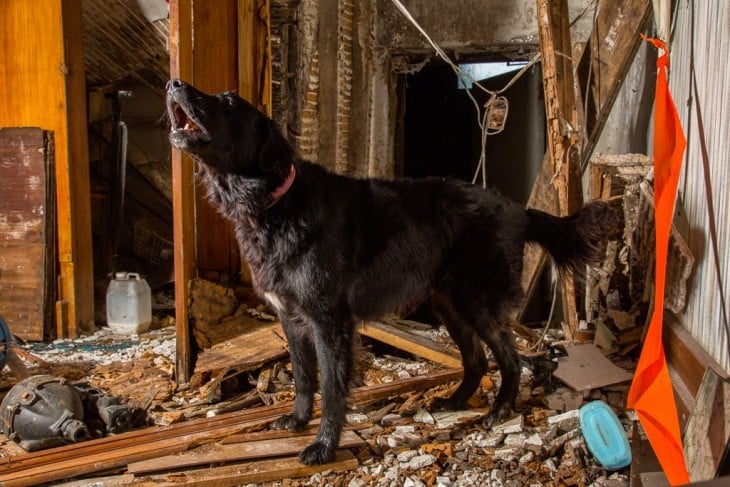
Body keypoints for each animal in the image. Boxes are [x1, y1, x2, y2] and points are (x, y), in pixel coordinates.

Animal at [166, 79, 616, 466]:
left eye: (228, 102)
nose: (174, 83)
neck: (276, 204)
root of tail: (518, 210)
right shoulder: (291, 320)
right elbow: (303, 378)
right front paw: (296, 421)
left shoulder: (329, 322)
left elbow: (331, 388)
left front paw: (324, 445)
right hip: (450, 306)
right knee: (475, 360)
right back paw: (454, 402)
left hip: (477, 303)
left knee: (509, 358)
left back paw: (499, 410)